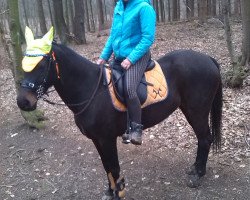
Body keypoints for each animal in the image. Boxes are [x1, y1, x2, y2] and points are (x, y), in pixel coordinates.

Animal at [16, 42, 222, 200]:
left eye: (42, 65)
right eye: (24, 65)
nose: (23, 102)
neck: (91, 88)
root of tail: (207, 58)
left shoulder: (107, 139)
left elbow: (113, 166)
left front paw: (118, 192)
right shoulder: (97, 139)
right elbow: (106, 166)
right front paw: (110, 191)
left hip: (197, 111)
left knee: (205, 139)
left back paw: (197, 175)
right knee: (203, 139)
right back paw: (195, 169)